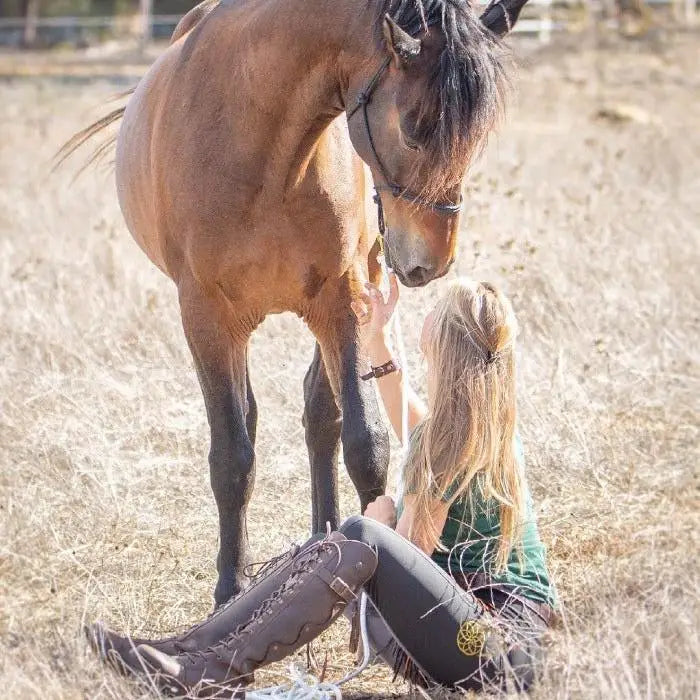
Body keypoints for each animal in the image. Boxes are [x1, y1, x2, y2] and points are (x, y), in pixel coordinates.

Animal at [63, 0, 529, 605]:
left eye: (477, 138)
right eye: (413, 127)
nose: (432, 262)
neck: (257, 139)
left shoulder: (343, 300)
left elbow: (364, 441)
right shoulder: (206, 316)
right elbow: (232, 455)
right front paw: (230, 588)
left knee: (320, 412)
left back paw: (322, 532)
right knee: (249, 420)